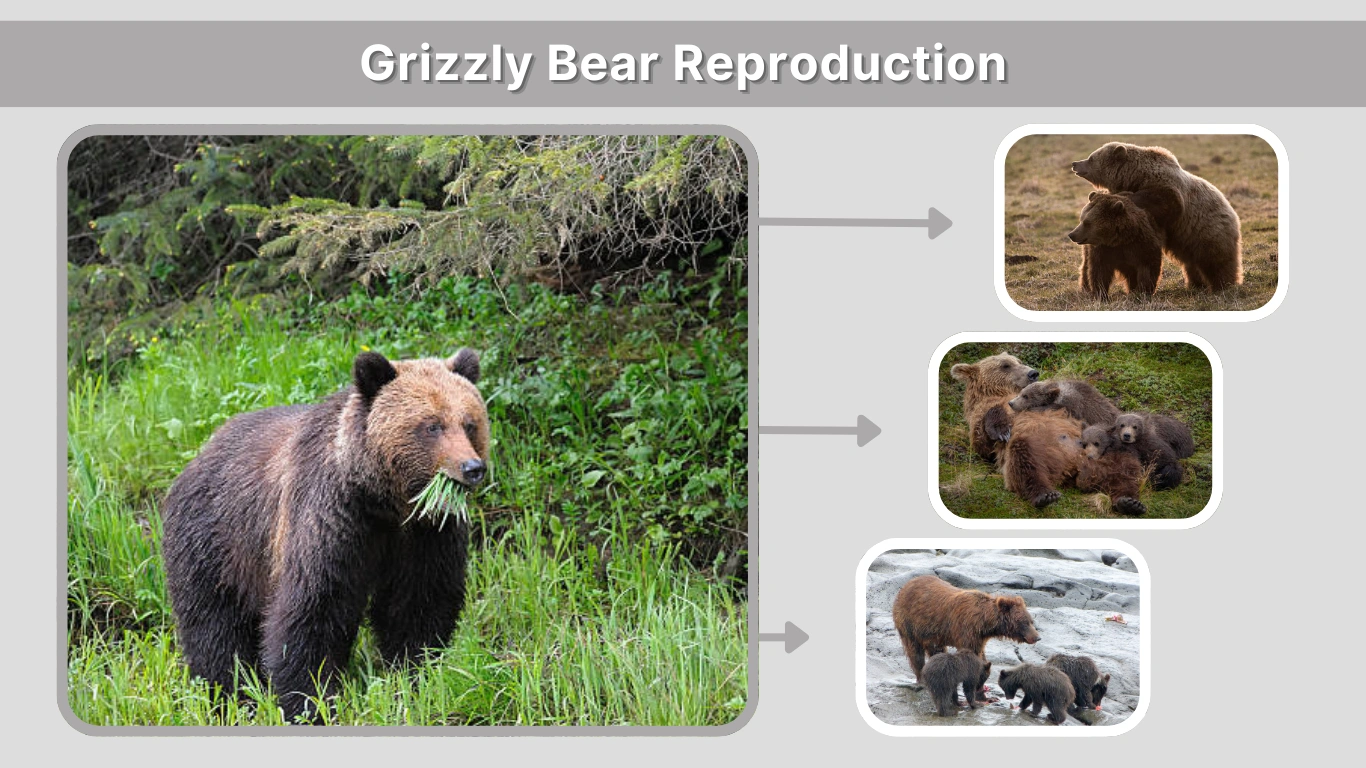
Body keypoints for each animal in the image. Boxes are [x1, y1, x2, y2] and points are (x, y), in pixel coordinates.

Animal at [161, 349, 490, 722]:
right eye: (432, 425)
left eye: (470, 423)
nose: (472, 468)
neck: (384, 503)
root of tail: (198, 455)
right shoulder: (329, 520)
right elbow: (314, 608)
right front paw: (310, 702)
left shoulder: (425, 532)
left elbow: (420, 602)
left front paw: (414, 675)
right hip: (218, 542)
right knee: (214, 626)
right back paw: (228, 695)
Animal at [891, 574, 1040, 687]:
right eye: (1024, 622)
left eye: (1031, 621)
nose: (1037, 637)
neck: (984, 623)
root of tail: (904, 586)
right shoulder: (966, 629)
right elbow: (971, 653)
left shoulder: (979, 637)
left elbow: (981, 655)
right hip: (910, 623)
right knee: (915, 652)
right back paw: (921, 678)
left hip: (932, 633)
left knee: (936, 650)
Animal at [950, 353, 1085, 508]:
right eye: (1005, 365)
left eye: (1019, 361)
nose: (1033, 373)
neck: (999, 392)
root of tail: (1071, 464)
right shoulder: (980, 415)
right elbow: (983, 444)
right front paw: (1001, 431)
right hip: (1035, 449)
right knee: (1024, 462)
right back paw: (1046, 495)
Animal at [1072, 141, 1242, 291]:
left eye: (1091, 158)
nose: (1075, 163)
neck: (1135, 175)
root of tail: (1233, 213)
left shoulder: (1167, 189)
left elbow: (1163, 200)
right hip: (1187, 241)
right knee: (1192, 264)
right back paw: (1195, 284)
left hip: (1209, 231)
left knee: (1217, 262)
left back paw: (1223, 285)